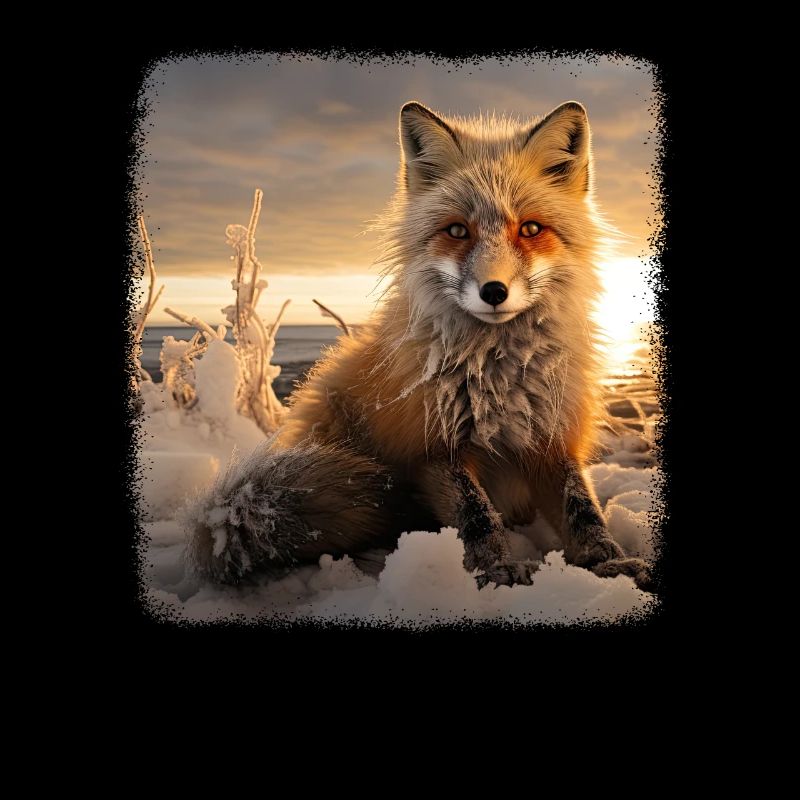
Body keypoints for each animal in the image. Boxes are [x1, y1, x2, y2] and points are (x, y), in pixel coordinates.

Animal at [184, 100, 652, 591]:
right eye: (458, 231)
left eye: (529, 229)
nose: (493, 291)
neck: (499, 379)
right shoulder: (432, 448)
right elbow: (476, 516)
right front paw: (495, 571)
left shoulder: (552, 438)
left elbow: (582, 511)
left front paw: (611, 563)